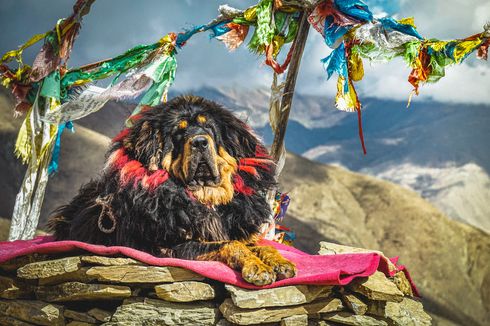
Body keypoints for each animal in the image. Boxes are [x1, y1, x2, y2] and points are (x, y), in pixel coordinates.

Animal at [47, 95, 296, 286]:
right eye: (178, 132)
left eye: (208, 127)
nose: (199, 142)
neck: (204, 198)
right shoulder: (170, 248)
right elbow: (232, 245)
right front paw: (257, 268)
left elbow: (261, 246)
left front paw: (280, 262)